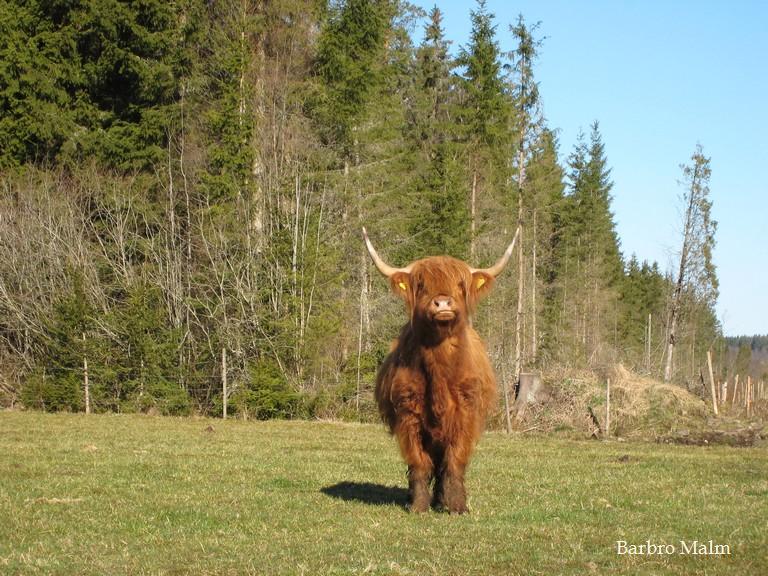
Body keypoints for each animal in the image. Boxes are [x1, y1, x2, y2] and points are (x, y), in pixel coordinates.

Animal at [363, 227, 519, 514]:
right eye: (421, 285)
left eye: (460, 285)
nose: (443, 303)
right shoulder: (408, 415)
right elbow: (419, 462)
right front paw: (418, 505)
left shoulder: (466, 414)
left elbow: (454, 461)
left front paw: (457, 505)